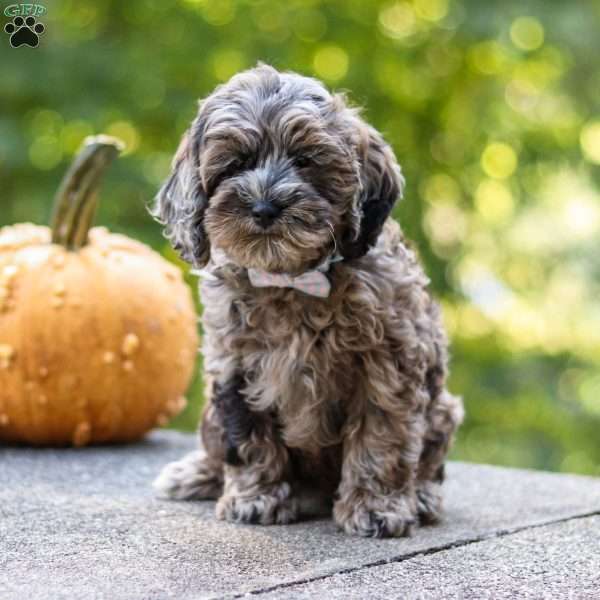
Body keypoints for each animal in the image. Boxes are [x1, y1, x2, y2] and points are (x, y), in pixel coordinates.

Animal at [152, 63, 462, 536]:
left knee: (427, 461)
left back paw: (423, 496)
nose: (264, 208)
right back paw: (199, 474)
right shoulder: (233, 363)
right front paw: (255, 498)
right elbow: (247, 436)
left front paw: (376, 506)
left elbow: (382, 437)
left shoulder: (389, 363)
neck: (292, 280)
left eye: (306, 161)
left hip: (443, 410)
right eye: (236, 164)